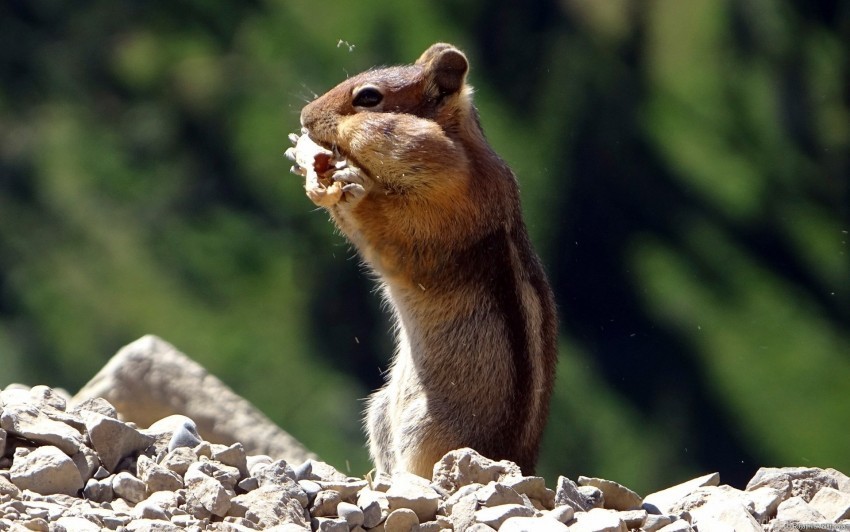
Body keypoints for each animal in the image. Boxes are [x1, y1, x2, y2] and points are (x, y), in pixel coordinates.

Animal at [288, 42, 560, 478]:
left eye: (369, 98)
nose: (305, 117)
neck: (462, 152)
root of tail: (523, 466)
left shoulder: (448, 205)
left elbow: (395, 232)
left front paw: (351, 186)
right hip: (382, 410)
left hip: (429, 428)